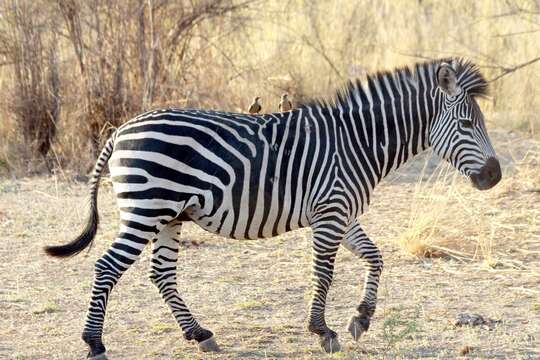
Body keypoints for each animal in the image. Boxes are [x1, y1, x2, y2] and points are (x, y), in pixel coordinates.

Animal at [45, 59, 502, 358]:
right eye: (467, 124)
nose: (495, 176)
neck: (357, 142)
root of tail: (122, 129)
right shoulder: (330, 212)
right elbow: (324, 273)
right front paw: (322, 331)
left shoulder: (342, 211)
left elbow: (375, 257)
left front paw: (362, 319)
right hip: (147, 209)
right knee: (107, 267)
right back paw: (94, 343)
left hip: (170, 216)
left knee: (161, 274)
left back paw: (200, 334)